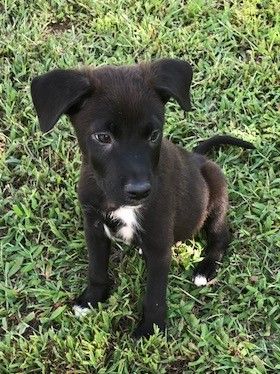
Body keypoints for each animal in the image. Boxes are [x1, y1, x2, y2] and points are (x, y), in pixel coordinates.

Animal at [31, 59, 254, 338]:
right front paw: (92, 298)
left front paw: (151, 328)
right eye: (103, 137)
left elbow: (155, 294)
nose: (140, 191)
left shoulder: (159, 245)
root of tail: (198, 157)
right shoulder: (93, 226)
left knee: (221, 236)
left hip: (215, 194)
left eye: (154, 134)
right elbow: (96, 268)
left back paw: (206, 268)